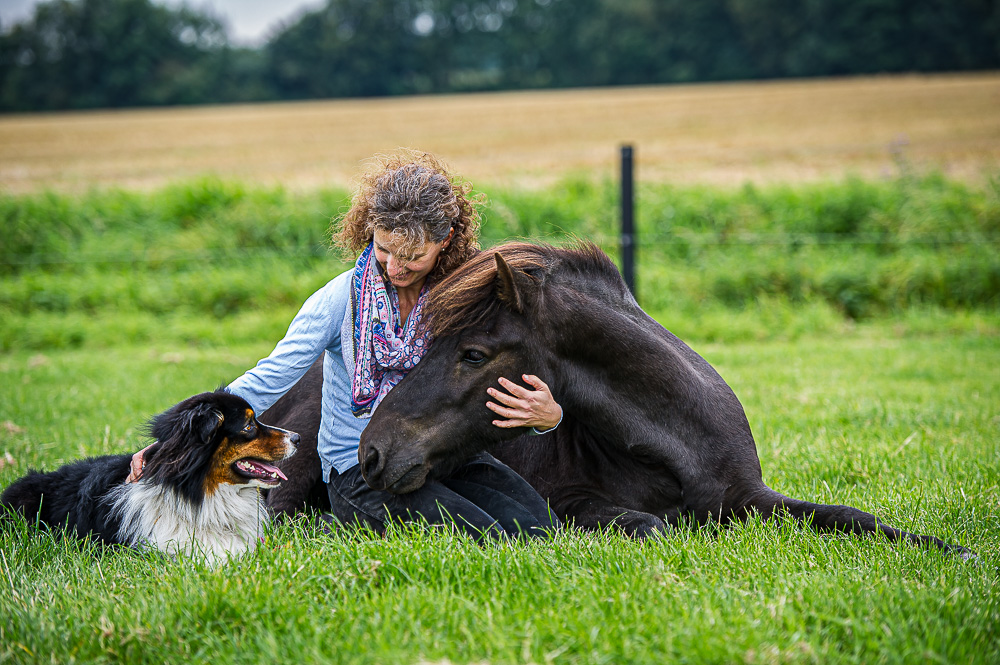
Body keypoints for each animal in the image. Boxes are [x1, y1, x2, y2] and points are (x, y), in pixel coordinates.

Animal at [266, 241, 968, 556]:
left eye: (472, 354)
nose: (374, 451)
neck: (676, 448)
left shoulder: (750, 498)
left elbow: (853, 515)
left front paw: (953, 550)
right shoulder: (571, 503)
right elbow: (651, 526)